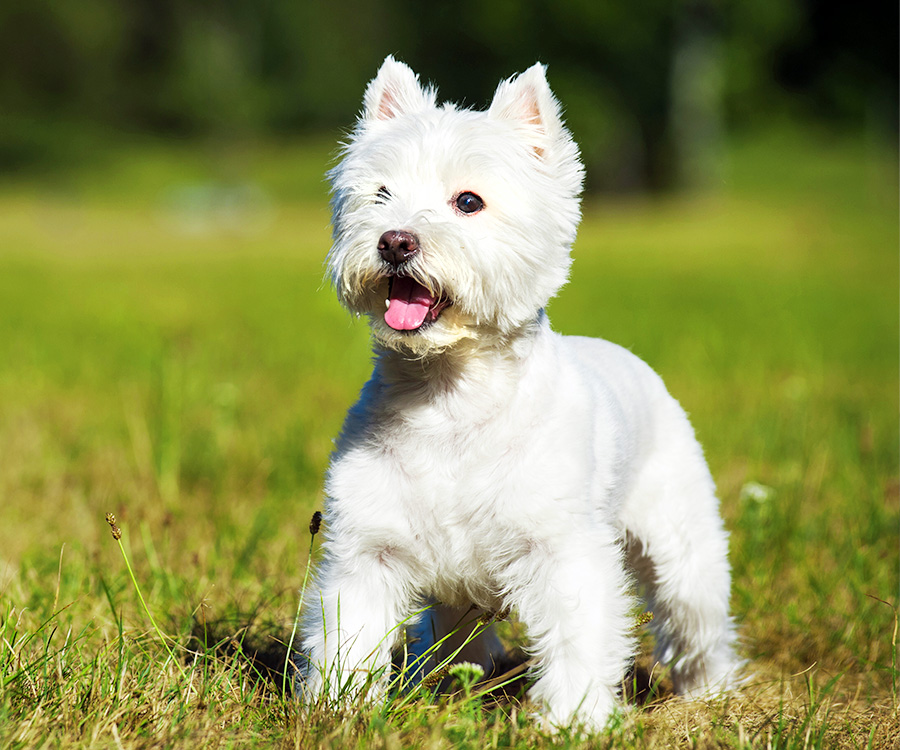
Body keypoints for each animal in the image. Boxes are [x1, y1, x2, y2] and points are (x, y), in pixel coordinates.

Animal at [298, 55, 740, 732]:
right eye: (380, 194)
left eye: (468, 201)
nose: (395, 240)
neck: (449, 398)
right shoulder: (370, 546)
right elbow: (352, 630)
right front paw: (338, 710)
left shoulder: (560, 548)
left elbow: (577, 638)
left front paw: (573, 722)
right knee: (459, 636)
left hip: (681, 541)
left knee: (696, 619)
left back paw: (709, 694)